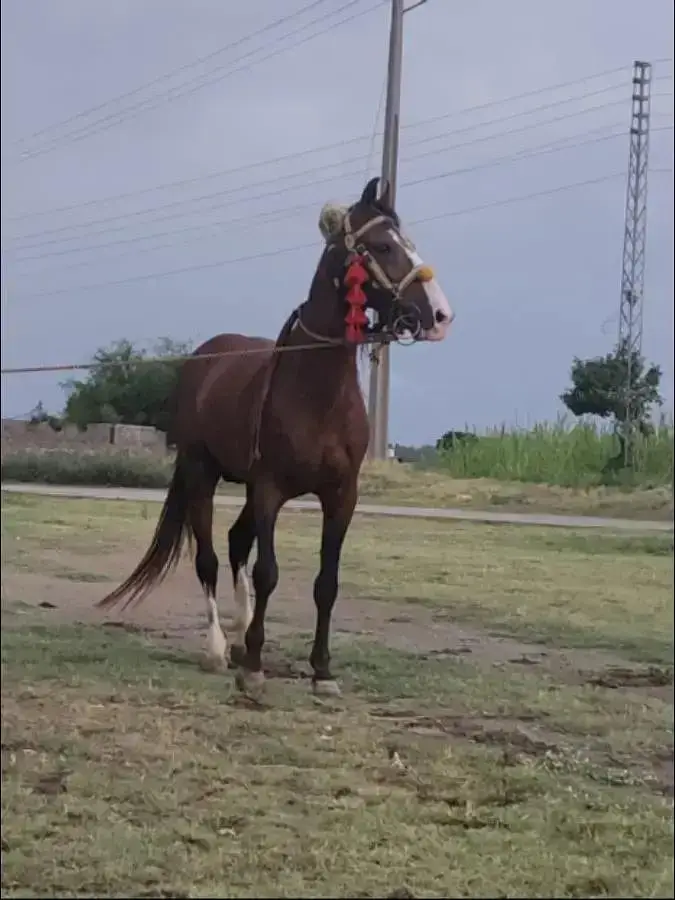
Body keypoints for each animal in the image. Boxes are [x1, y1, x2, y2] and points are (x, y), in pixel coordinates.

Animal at [97, 176, 453, 697]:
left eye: (407, 241)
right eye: (384, 246)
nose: (440, 314)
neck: (316, 392)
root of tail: (206, 356)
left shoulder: (341, 495)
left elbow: (327, 581)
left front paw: (321, 670)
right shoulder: (269, 489)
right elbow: (268, 572)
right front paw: (254, 667)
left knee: (234, 542)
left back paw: (244, 630)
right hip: (202, 472)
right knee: (210, 557)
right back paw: (219, 648)